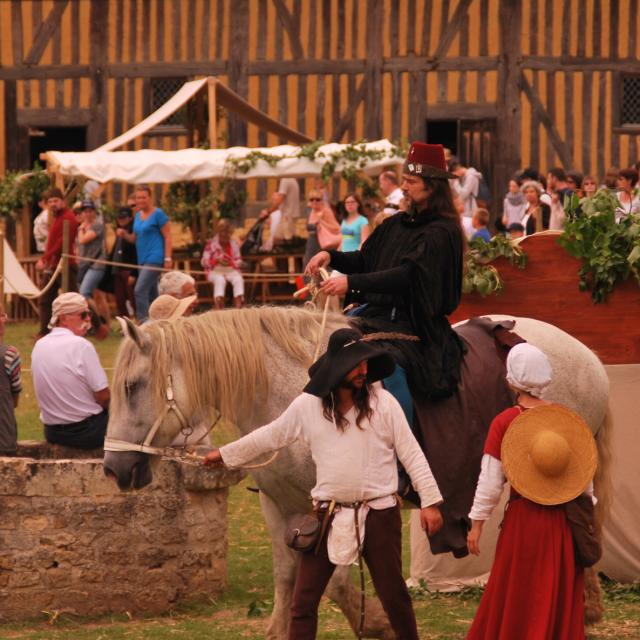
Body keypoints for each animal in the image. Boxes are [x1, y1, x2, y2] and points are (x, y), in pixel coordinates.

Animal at [104, 308, 608, 636]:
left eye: (132, 386)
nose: (113, 468)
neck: (295, 394)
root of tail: (586, 354)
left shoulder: (335, 508)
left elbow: (338, 582)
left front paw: (379, 622)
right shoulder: (280, 509)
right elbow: (287, 579)